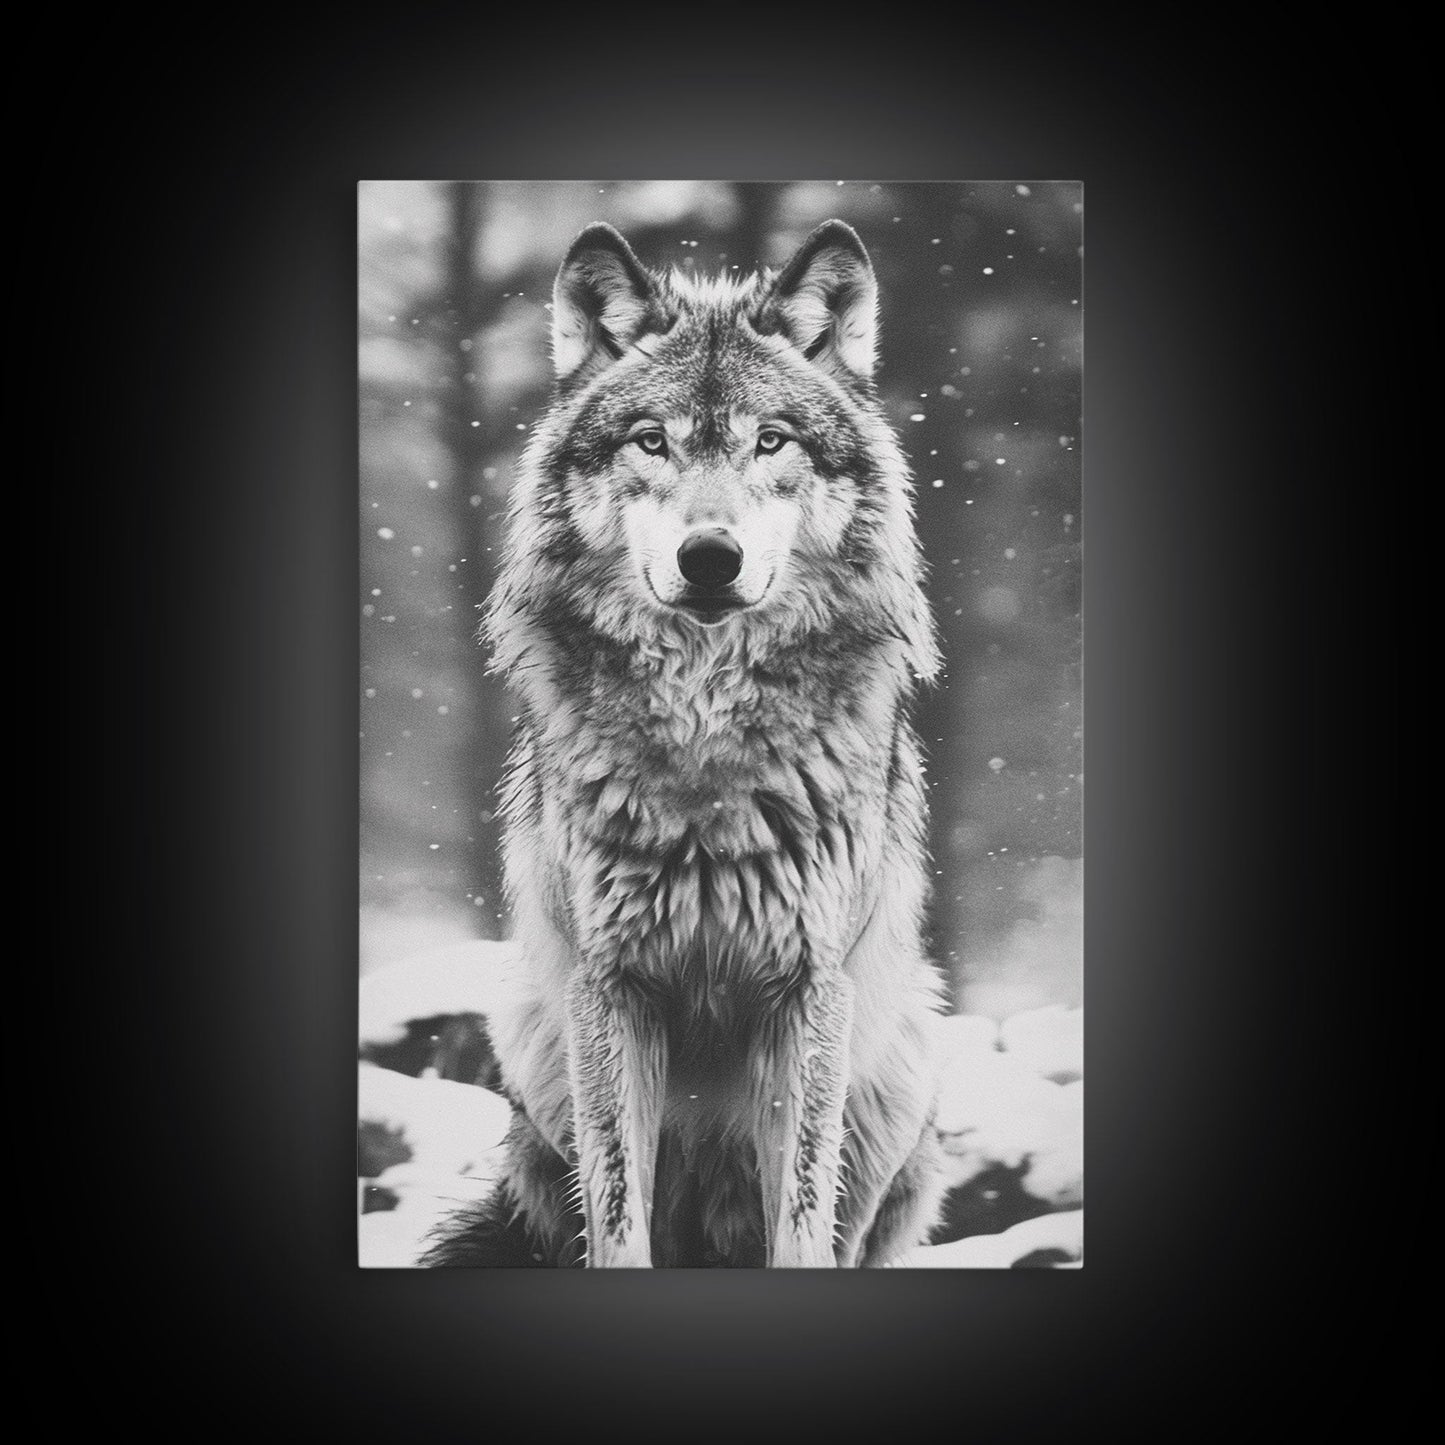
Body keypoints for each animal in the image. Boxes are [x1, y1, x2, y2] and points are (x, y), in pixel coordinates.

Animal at [423, 218, 948, 1267]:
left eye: (770, 440)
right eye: (651, 440)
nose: (710, 557)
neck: (707, 735)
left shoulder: (807, 990)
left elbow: (802, 1219)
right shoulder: (610, 988)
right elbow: (618, 1217)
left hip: (904, 1053)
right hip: (532, 1035)